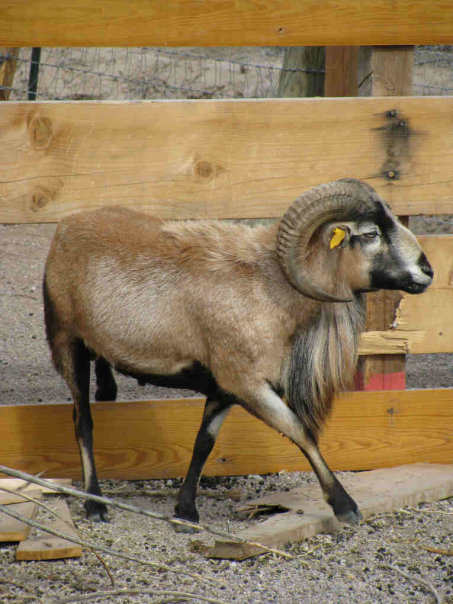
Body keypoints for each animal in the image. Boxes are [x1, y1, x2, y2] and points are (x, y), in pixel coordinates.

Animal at [43, 178, 433, 526]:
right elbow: (301, 431)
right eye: (370, 234)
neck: (271, 288)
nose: (427, 271)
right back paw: (95, 505)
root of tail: (64, 229)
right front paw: (345, 507)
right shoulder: (248, 385)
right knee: (82, 422)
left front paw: (185, 513)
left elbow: (204, 443)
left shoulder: (223, 390)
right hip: (67, 343)